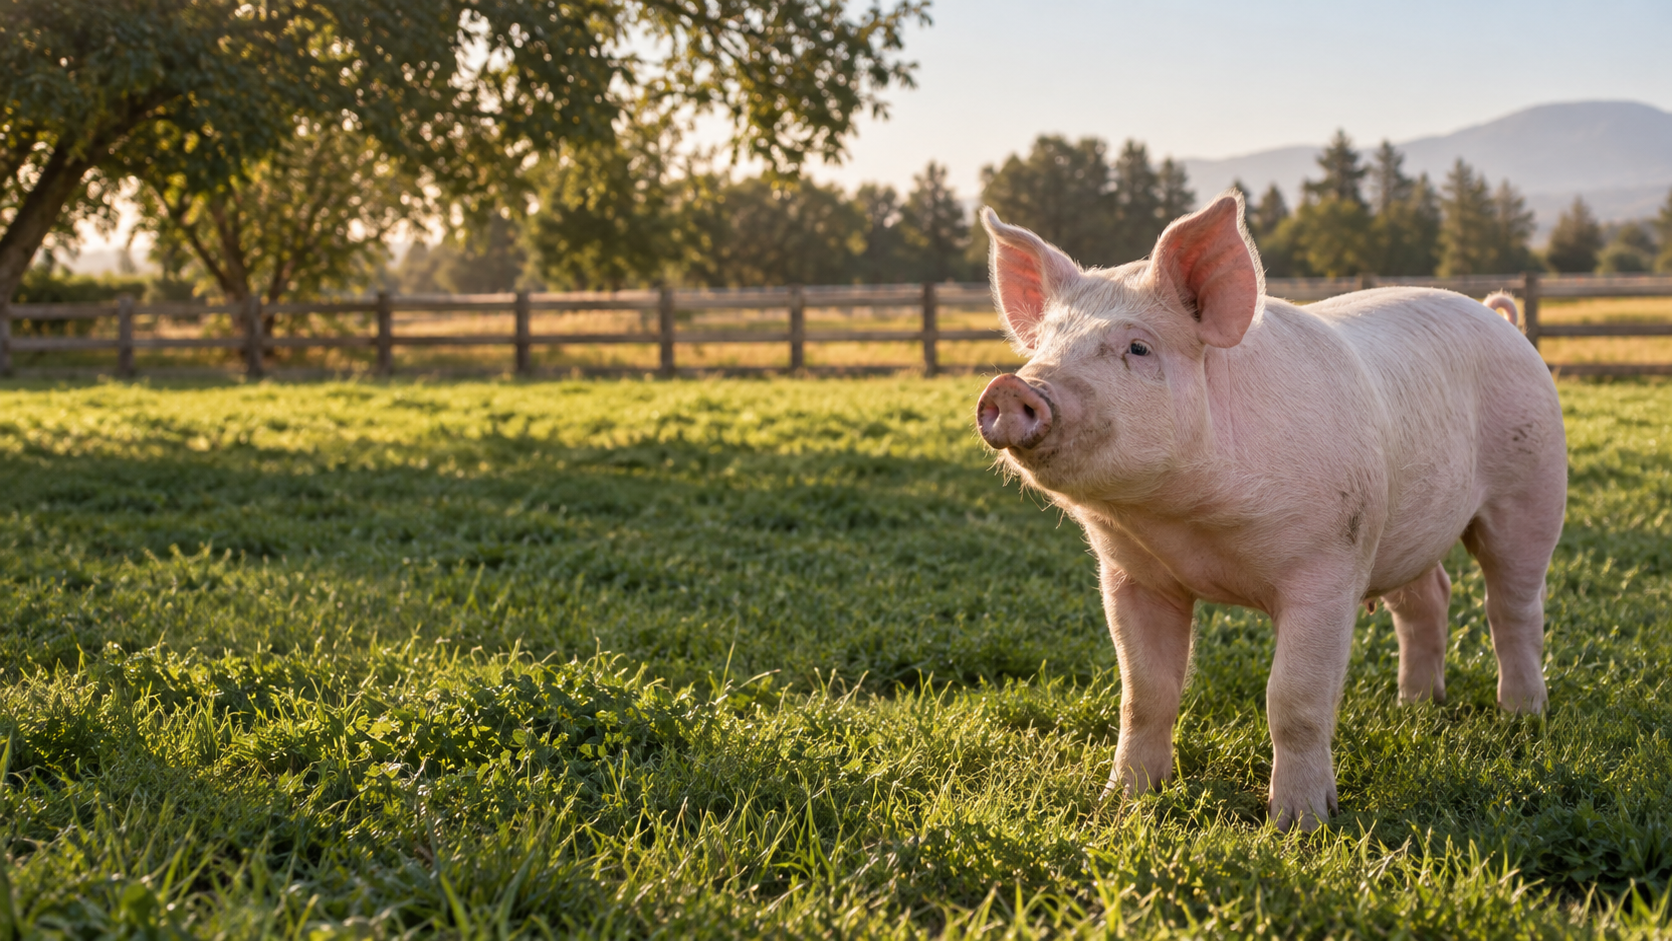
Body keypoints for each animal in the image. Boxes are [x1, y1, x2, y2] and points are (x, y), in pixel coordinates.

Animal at [974, 192, 1566, 830]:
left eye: (1138, 347)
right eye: (1043, 345)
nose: (1012, 387)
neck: (1189, 524)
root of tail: (1498, 317)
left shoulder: (1328, 563)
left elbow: (1295, 697)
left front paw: (1299, 824)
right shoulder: (1132, 574)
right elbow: (1144, 692)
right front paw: (1122, 804)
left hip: (1531, 489)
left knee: (1512, 606)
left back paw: (1522, 715)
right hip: (1404, 525)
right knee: (1429, 596)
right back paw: (1415, 707)